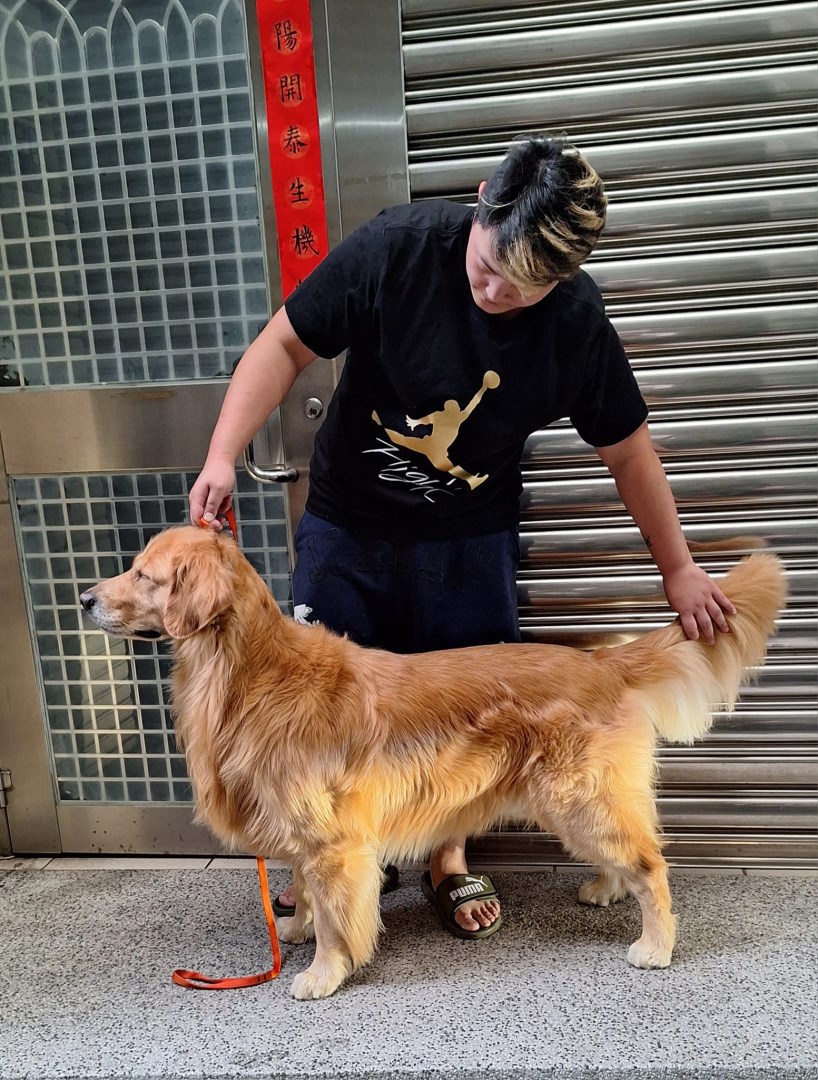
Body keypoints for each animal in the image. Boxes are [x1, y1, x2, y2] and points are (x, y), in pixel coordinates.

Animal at [80, 526, 785, 999]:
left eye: (143, 575)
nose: (85, 598)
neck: (248, 670)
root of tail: (600, 661)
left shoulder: (335, 842)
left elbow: (337, 917)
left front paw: (323, 974)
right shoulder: (302, 830)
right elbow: (305, 891)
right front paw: (299, 927)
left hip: (579, 797)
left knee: (651, 865)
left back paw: (655, 945)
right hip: (579, 801)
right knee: (627, 858)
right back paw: (605, 891)